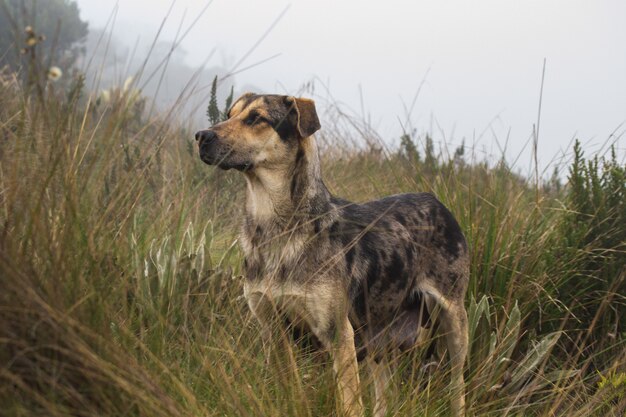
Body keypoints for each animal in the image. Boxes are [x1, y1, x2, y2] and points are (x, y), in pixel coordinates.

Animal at [195, 93, 468, 416]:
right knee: (384, 395)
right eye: (229, 114)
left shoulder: (338, 333)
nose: (201, 136)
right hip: (380, 337)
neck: (274, 227)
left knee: (458, 387)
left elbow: (350, 404)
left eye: (256, 118)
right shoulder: (273, 329)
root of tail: (437, 202)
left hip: (453, 324)